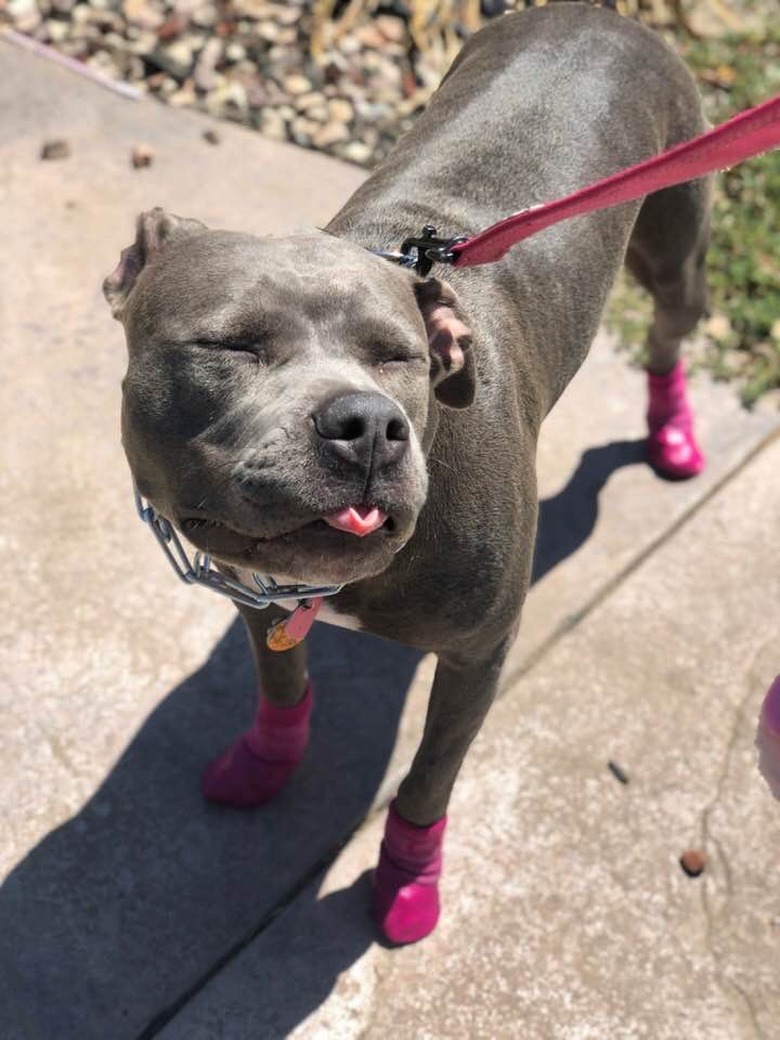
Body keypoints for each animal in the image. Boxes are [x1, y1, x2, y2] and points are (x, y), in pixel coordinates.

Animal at [105, 0, 715, 944]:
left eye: (399, 357)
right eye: (231, 344)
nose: (366, 427)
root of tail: (601, 14)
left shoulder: (479, 656)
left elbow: (430, 775)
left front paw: (406, 877)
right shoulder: (255, 584)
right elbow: (282, 679)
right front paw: (266, 758)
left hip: (673, 252)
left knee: (669, 331)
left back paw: (671, 429)